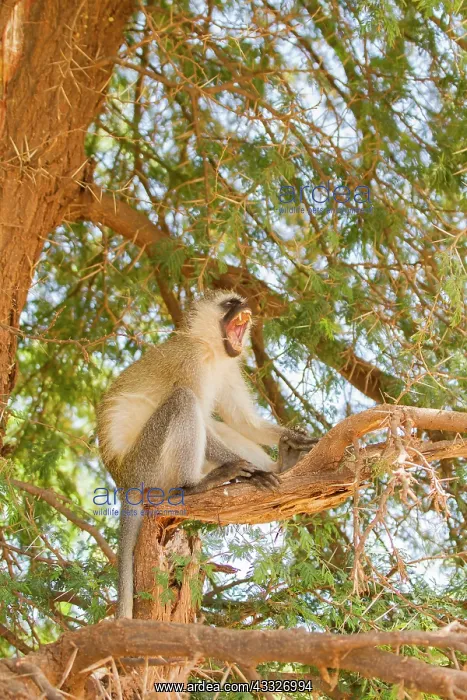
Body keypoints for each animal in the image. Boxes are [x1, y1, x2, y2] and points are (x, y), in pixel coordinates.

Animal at [97, 290, 317, 618]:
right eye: (230, 304)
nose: (247, 305)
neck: (210, 349)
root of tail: (123, 482)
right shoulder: (190, 361)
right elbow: (199, 408)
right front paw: (255, 471)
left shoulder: (229, 368)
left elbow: (241, 421)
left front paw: (291, 441)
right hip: (148, 465)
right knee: (184, 401)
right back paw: (197, 484)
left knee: (216, 424)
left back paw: (283, 464)